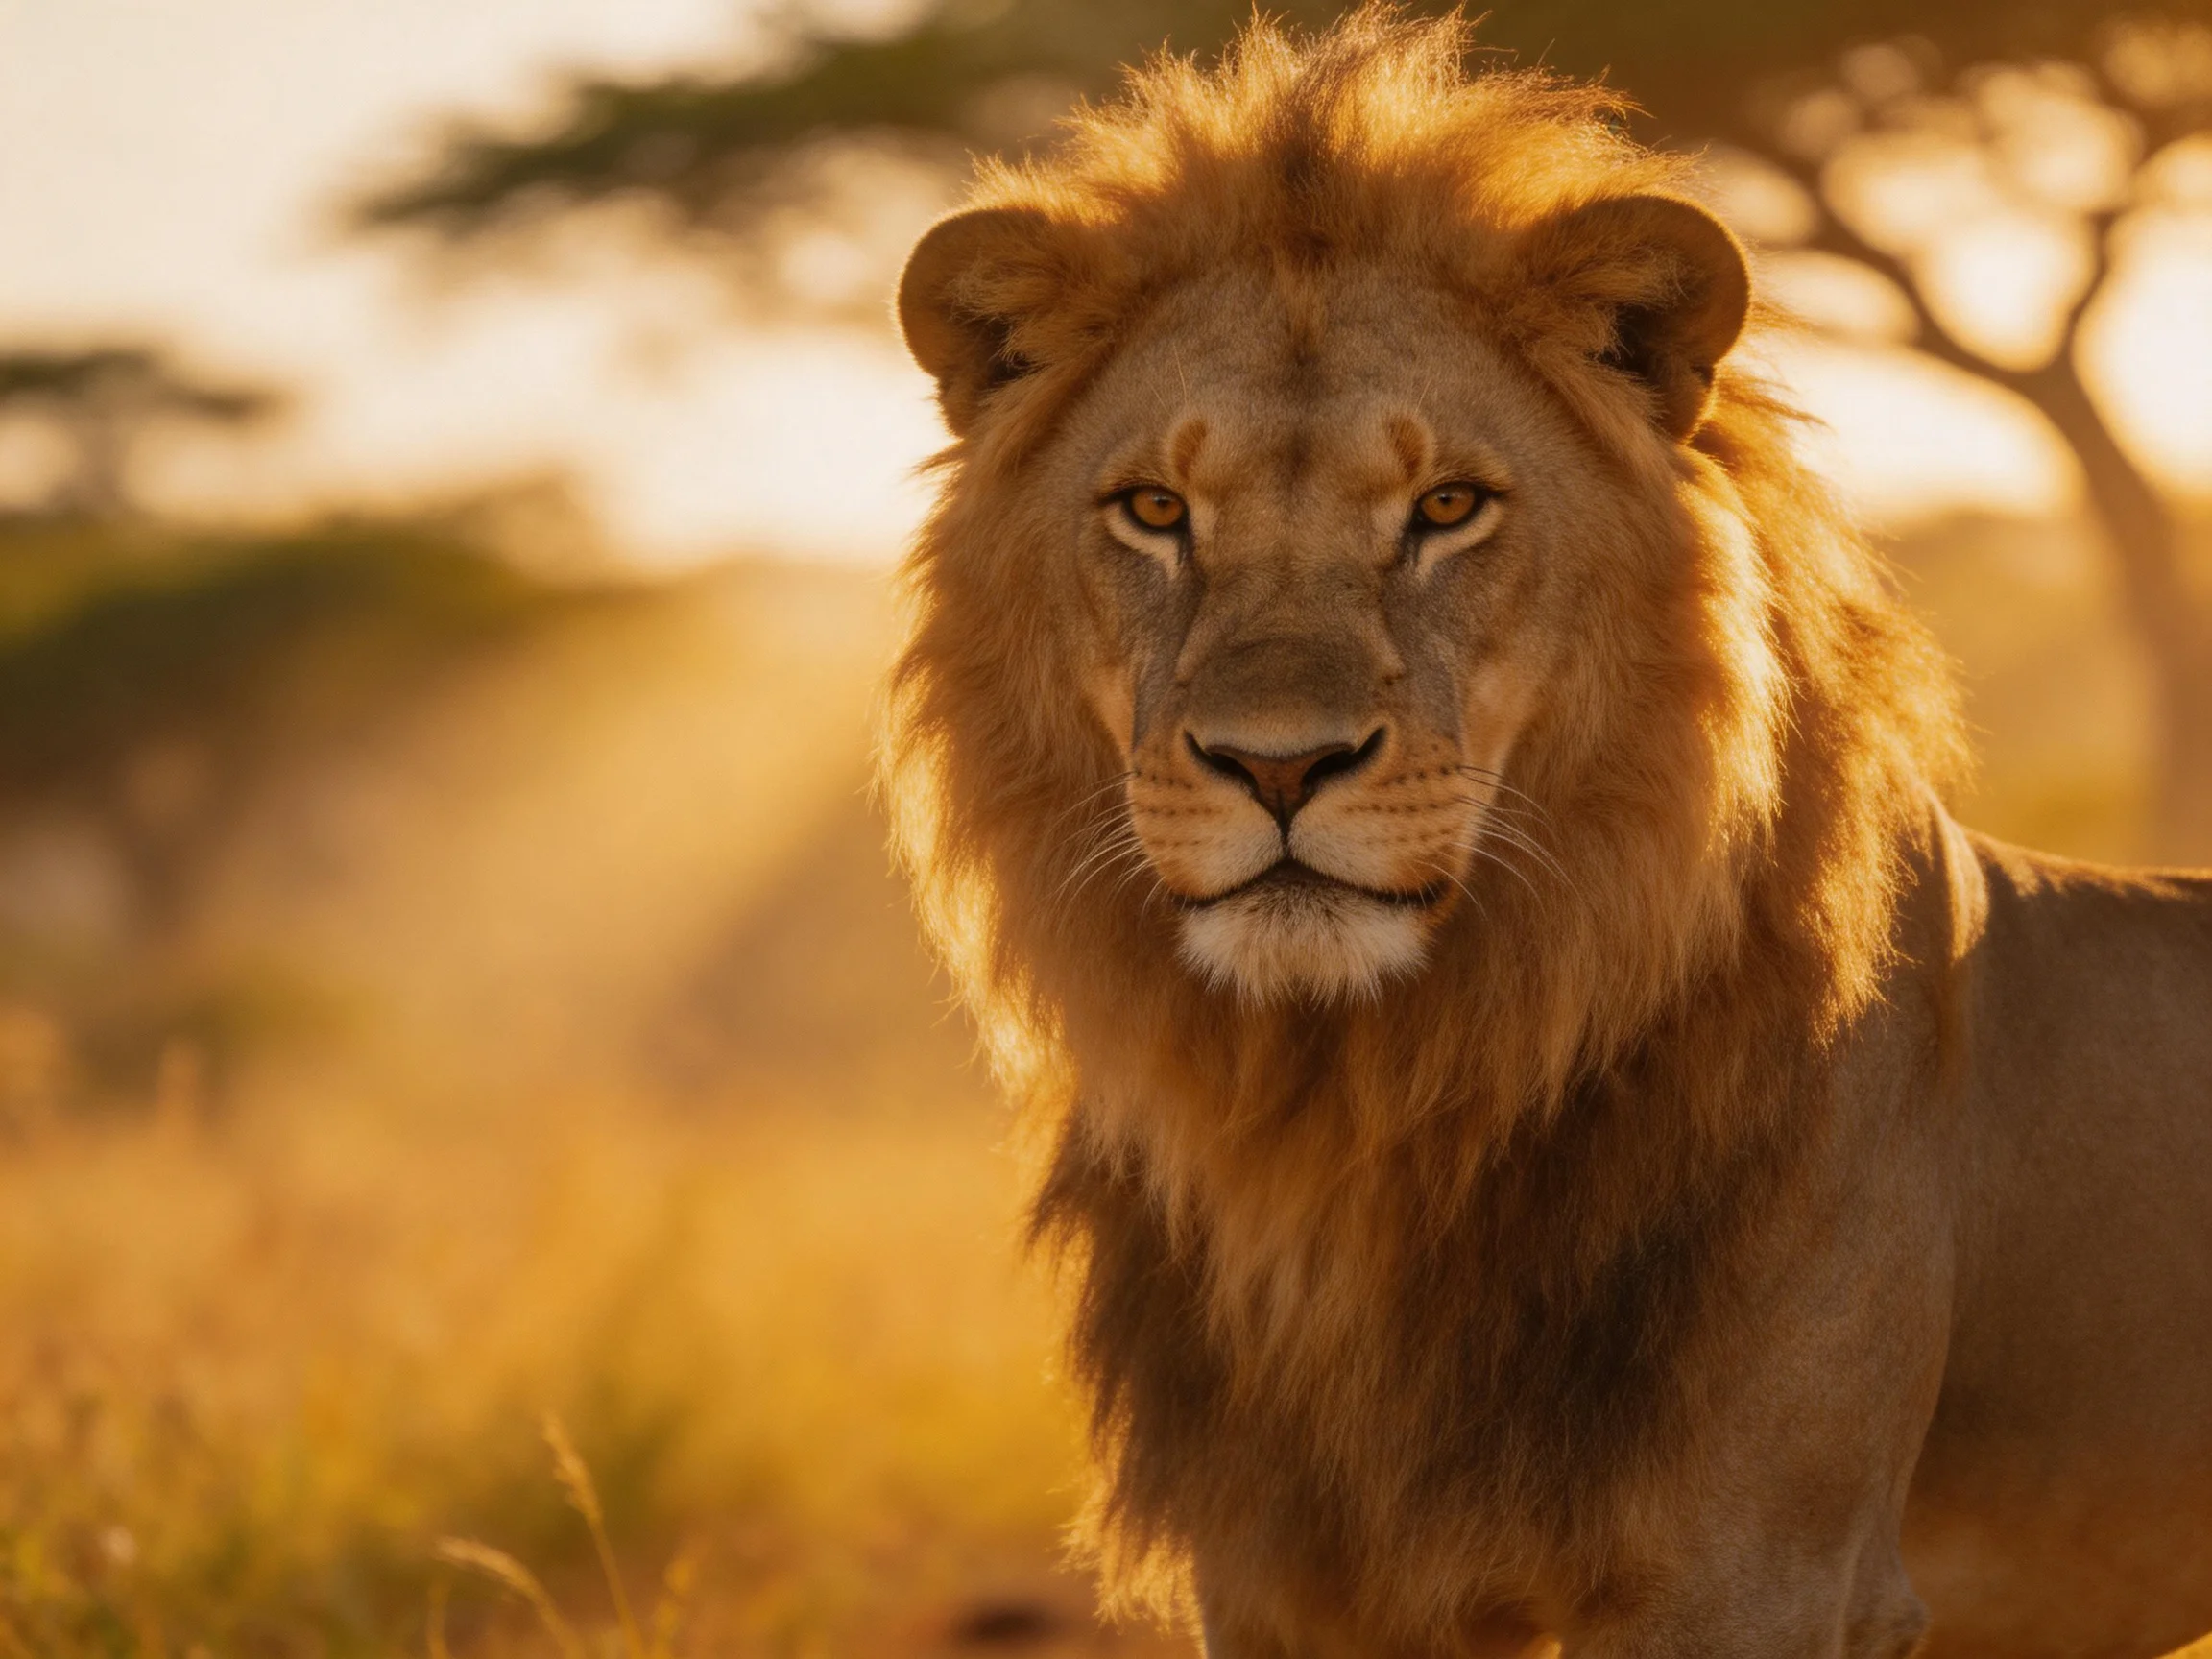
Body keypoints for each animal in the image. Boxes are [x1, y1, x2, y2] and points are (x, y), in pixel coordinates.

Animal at [880, 11, 2212, 1658]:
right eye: (1155, 510)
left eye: (1449, 506)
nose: (1279, 764)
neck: (1359, 1121)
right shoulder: (1276, 1585)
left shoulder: (1758, 1572)